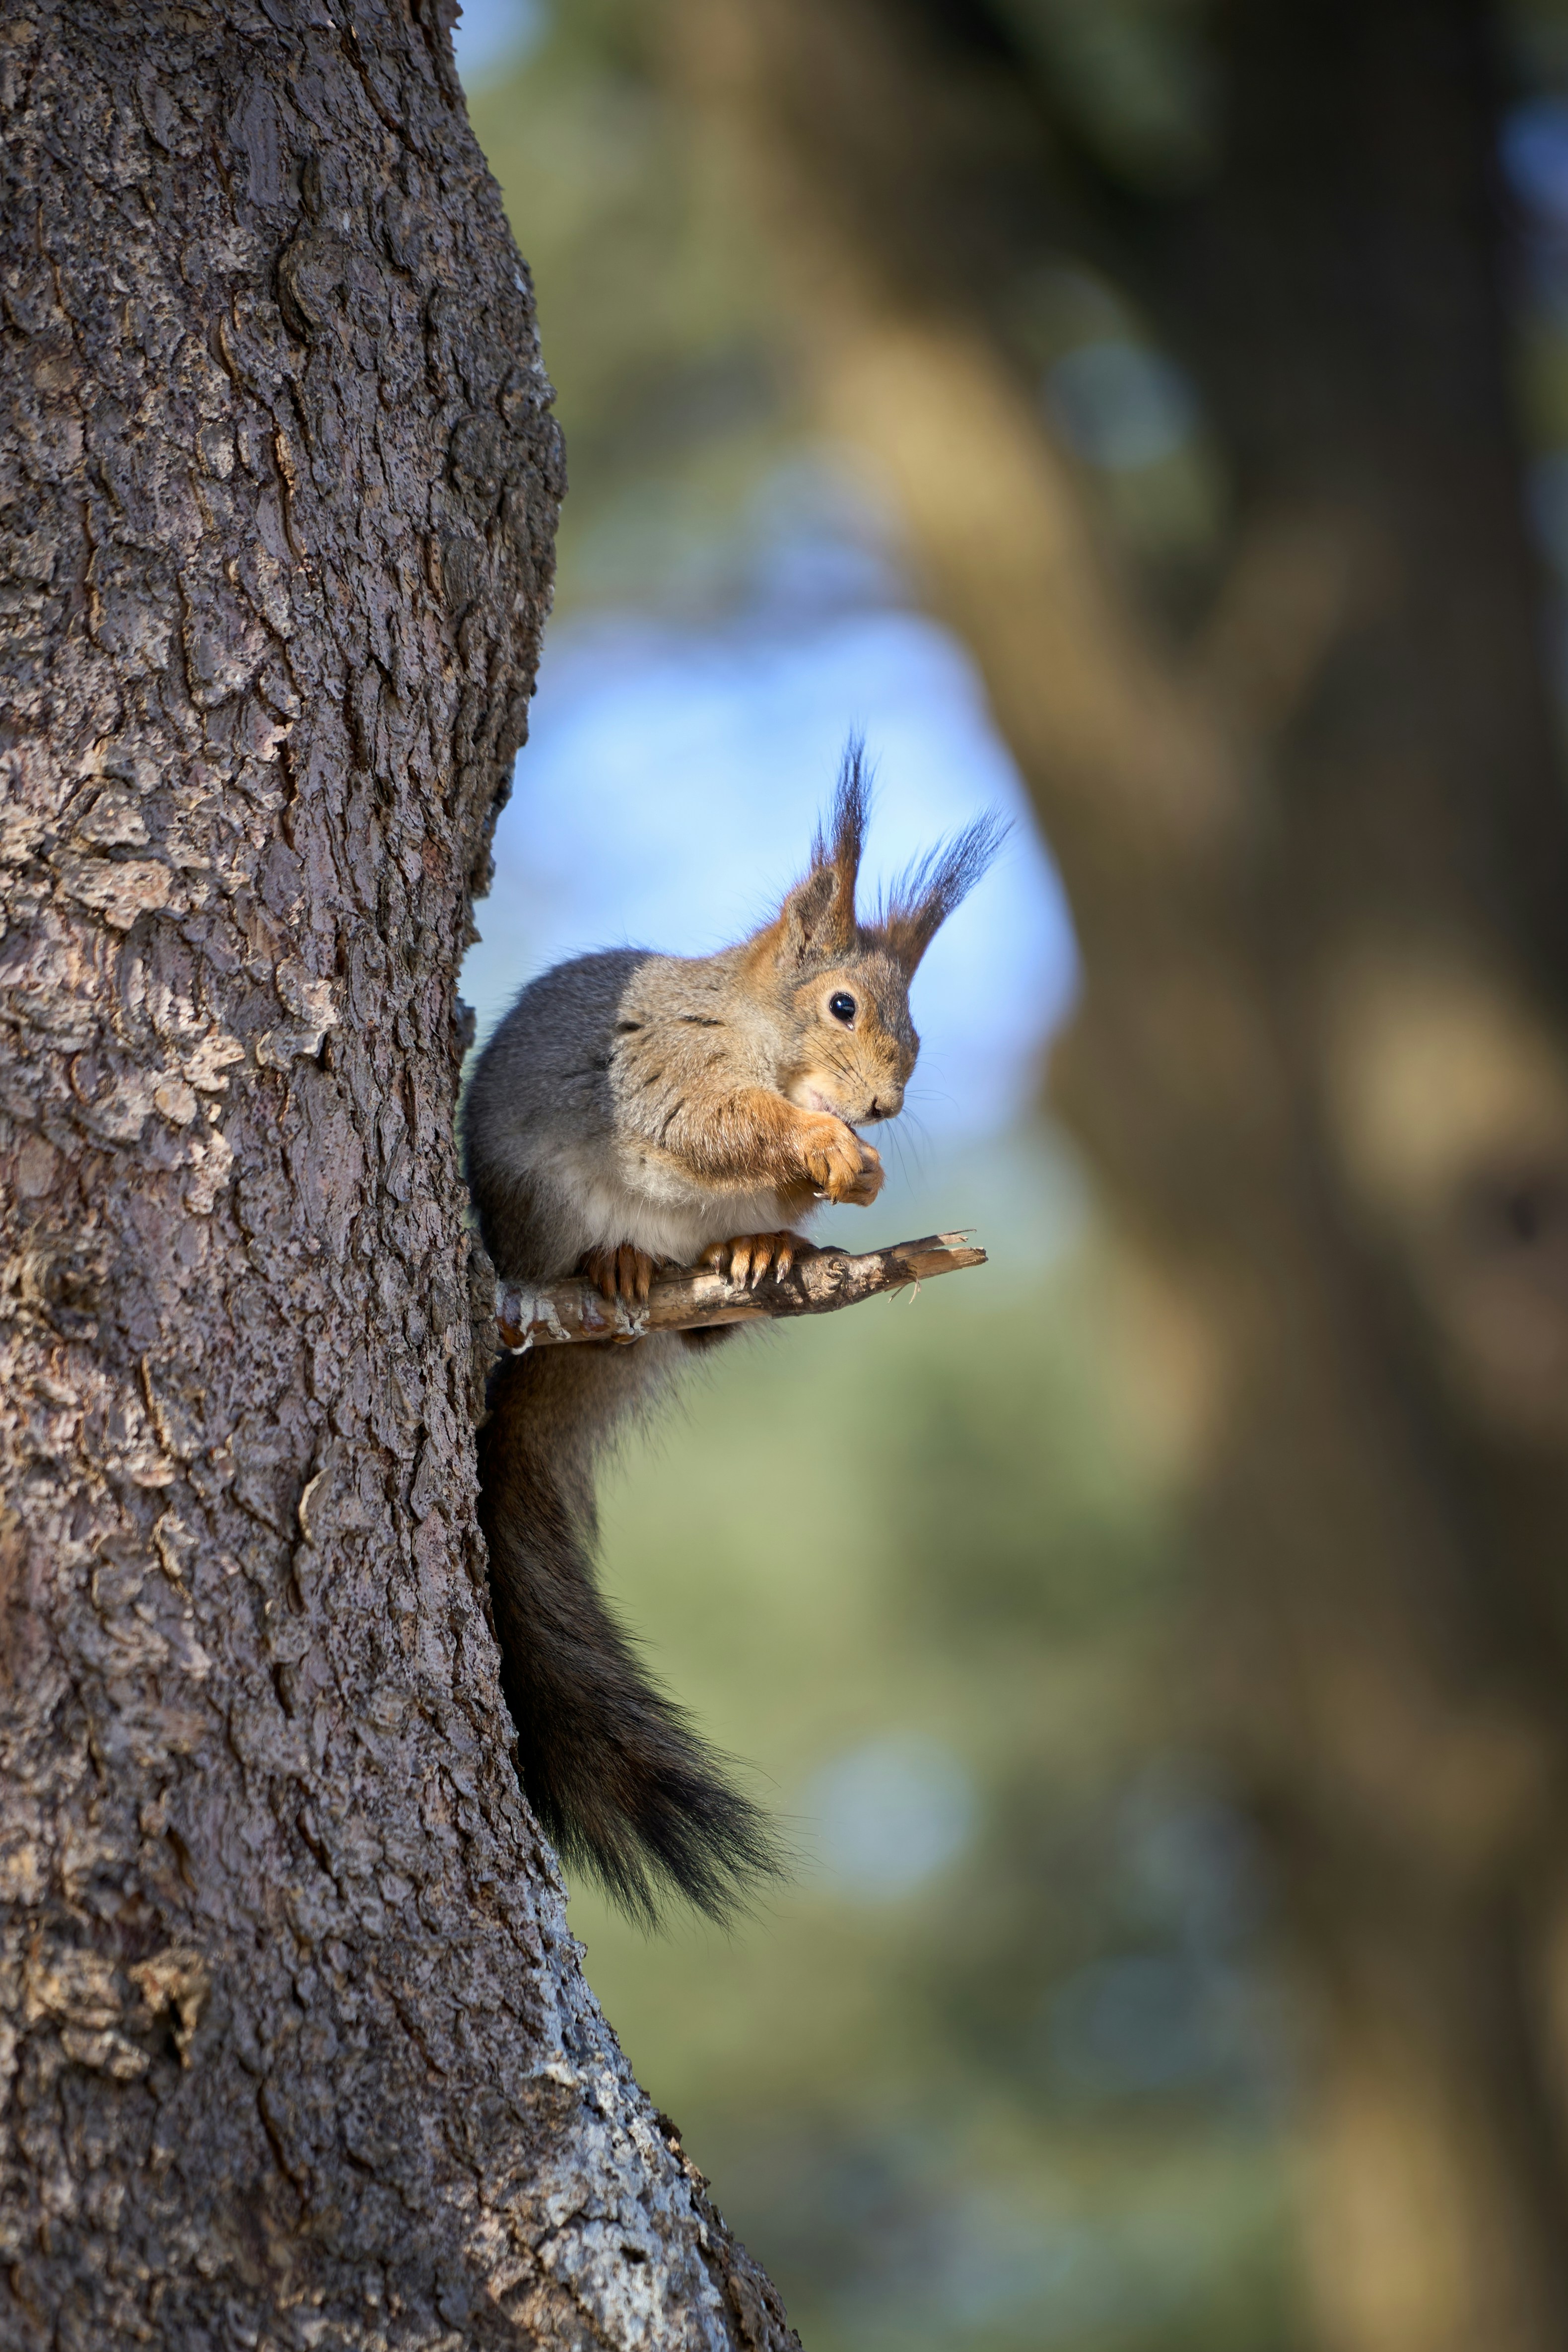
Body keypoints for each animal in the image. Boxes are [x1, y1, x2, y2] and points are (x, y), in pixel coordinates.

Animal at [462, 744, 1002, 1924]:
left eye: (914, 1026)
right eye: (842, 1004)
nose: (885, 1105)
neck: (754, 1029)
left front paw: (841, 1178)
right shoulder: (665, 1068)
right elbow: (715, 1126)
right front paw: (823, 1142)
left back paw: (760, 1254)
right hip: (534, 1211)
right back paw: (615, 1268)